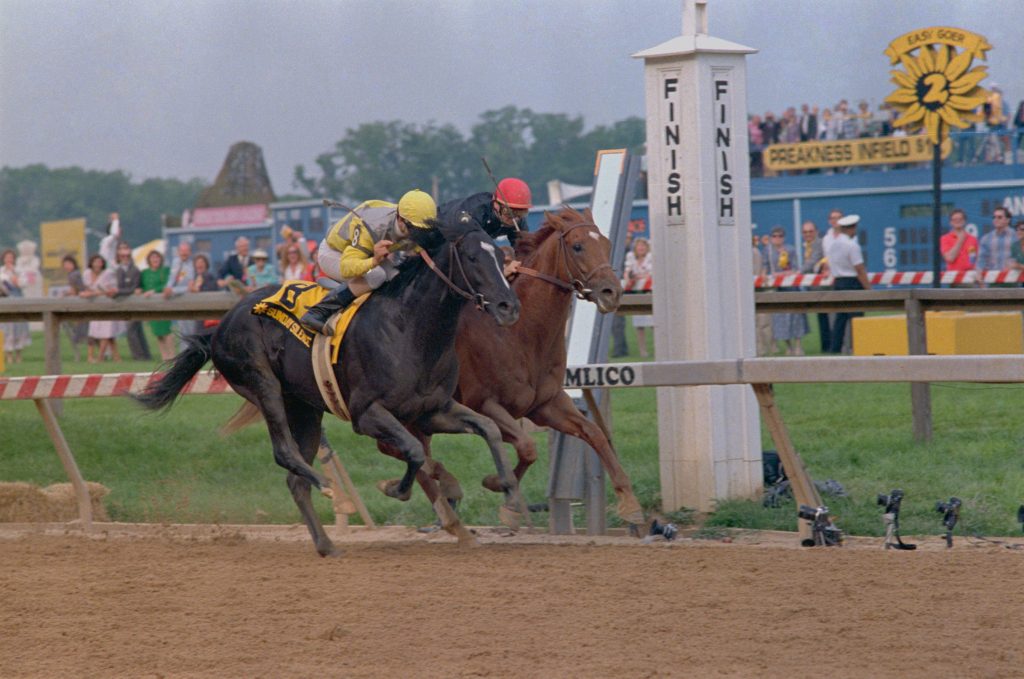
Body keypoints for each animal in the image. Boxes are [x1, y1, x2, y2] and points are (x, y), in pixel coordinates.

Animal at [138, 216, 520, 557]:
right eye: (472, 257)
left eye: (502, 259)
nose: (509, 307)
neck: (409, 329)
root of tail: (219, 325)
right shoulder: (367, 414)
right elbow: (413, 449)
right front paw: (392, 487)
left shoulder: (431, 410)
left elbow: (489, 428)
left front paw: (508, 492)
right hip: (263, 384)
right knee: (285, 453)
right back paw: (329, 489)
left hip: (304, 408)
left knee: (295, 480)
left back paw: (326, 543)